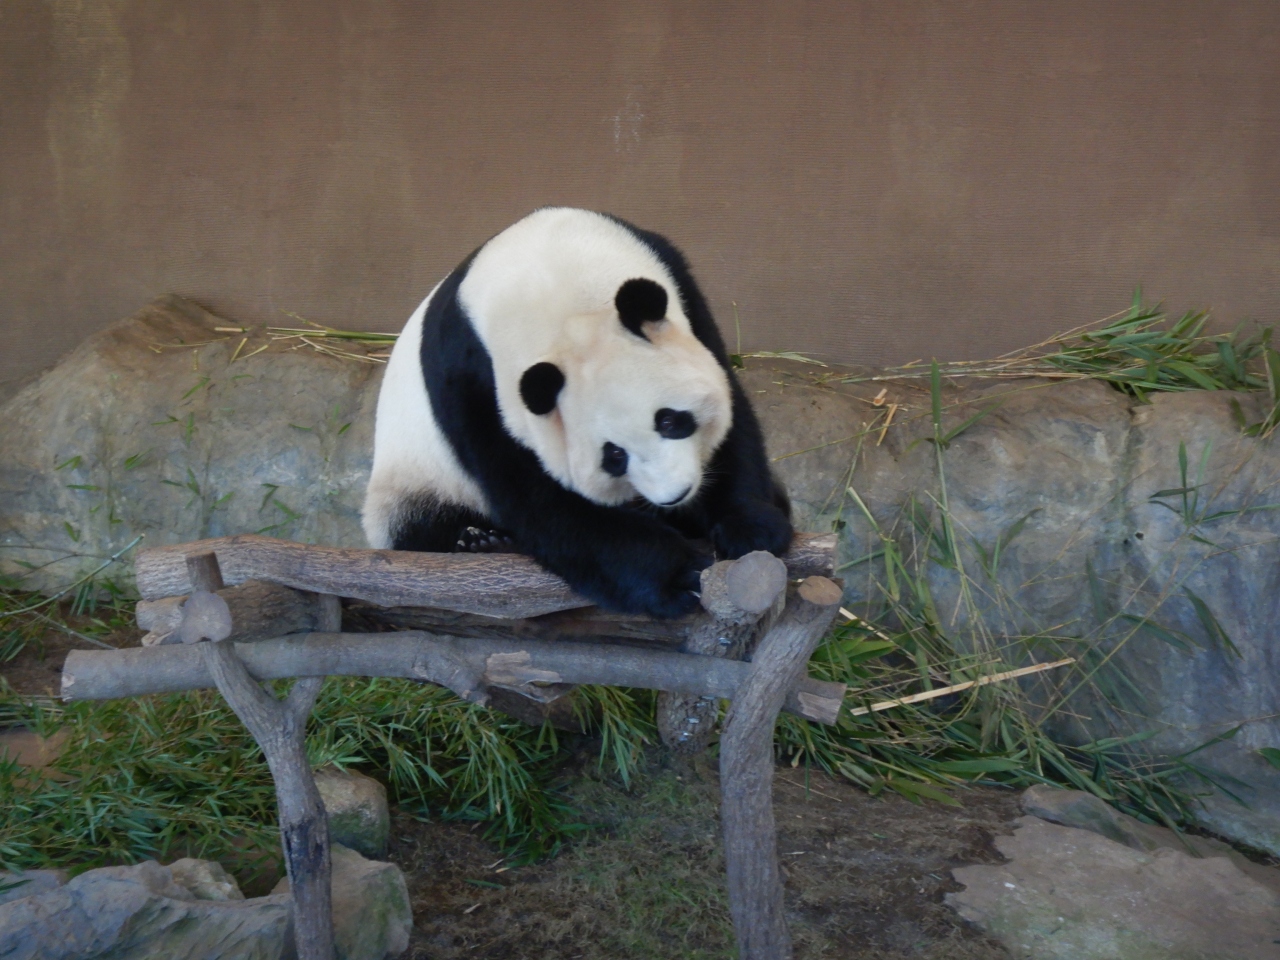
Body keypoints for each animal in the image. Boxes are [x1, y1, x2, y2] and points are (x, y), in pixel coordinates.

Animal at [360, 207, 793, 619]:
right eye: (614, 456)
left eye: (670, 420)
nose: (676, 495)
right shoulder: (472, 380)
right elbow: (543, 501)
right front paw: (677, 575)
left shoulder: (680, 288)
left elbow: (731, 415)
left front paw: (752, 529)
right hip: (412, 482)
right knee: (418, 526)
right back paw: (479, 542)